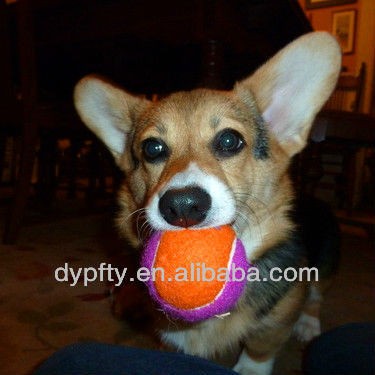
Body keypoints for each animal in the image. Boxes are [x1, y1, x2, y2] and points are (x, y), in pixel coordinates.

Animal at [75, 32, 342, 375]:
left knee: (317, 296)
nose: (183, 206)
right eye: (152, 148)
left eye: (229, 140)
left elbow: (260, 346)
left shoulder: (278, 318)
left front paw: (249, 369)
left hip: (325, 264)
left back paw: (308, 325)